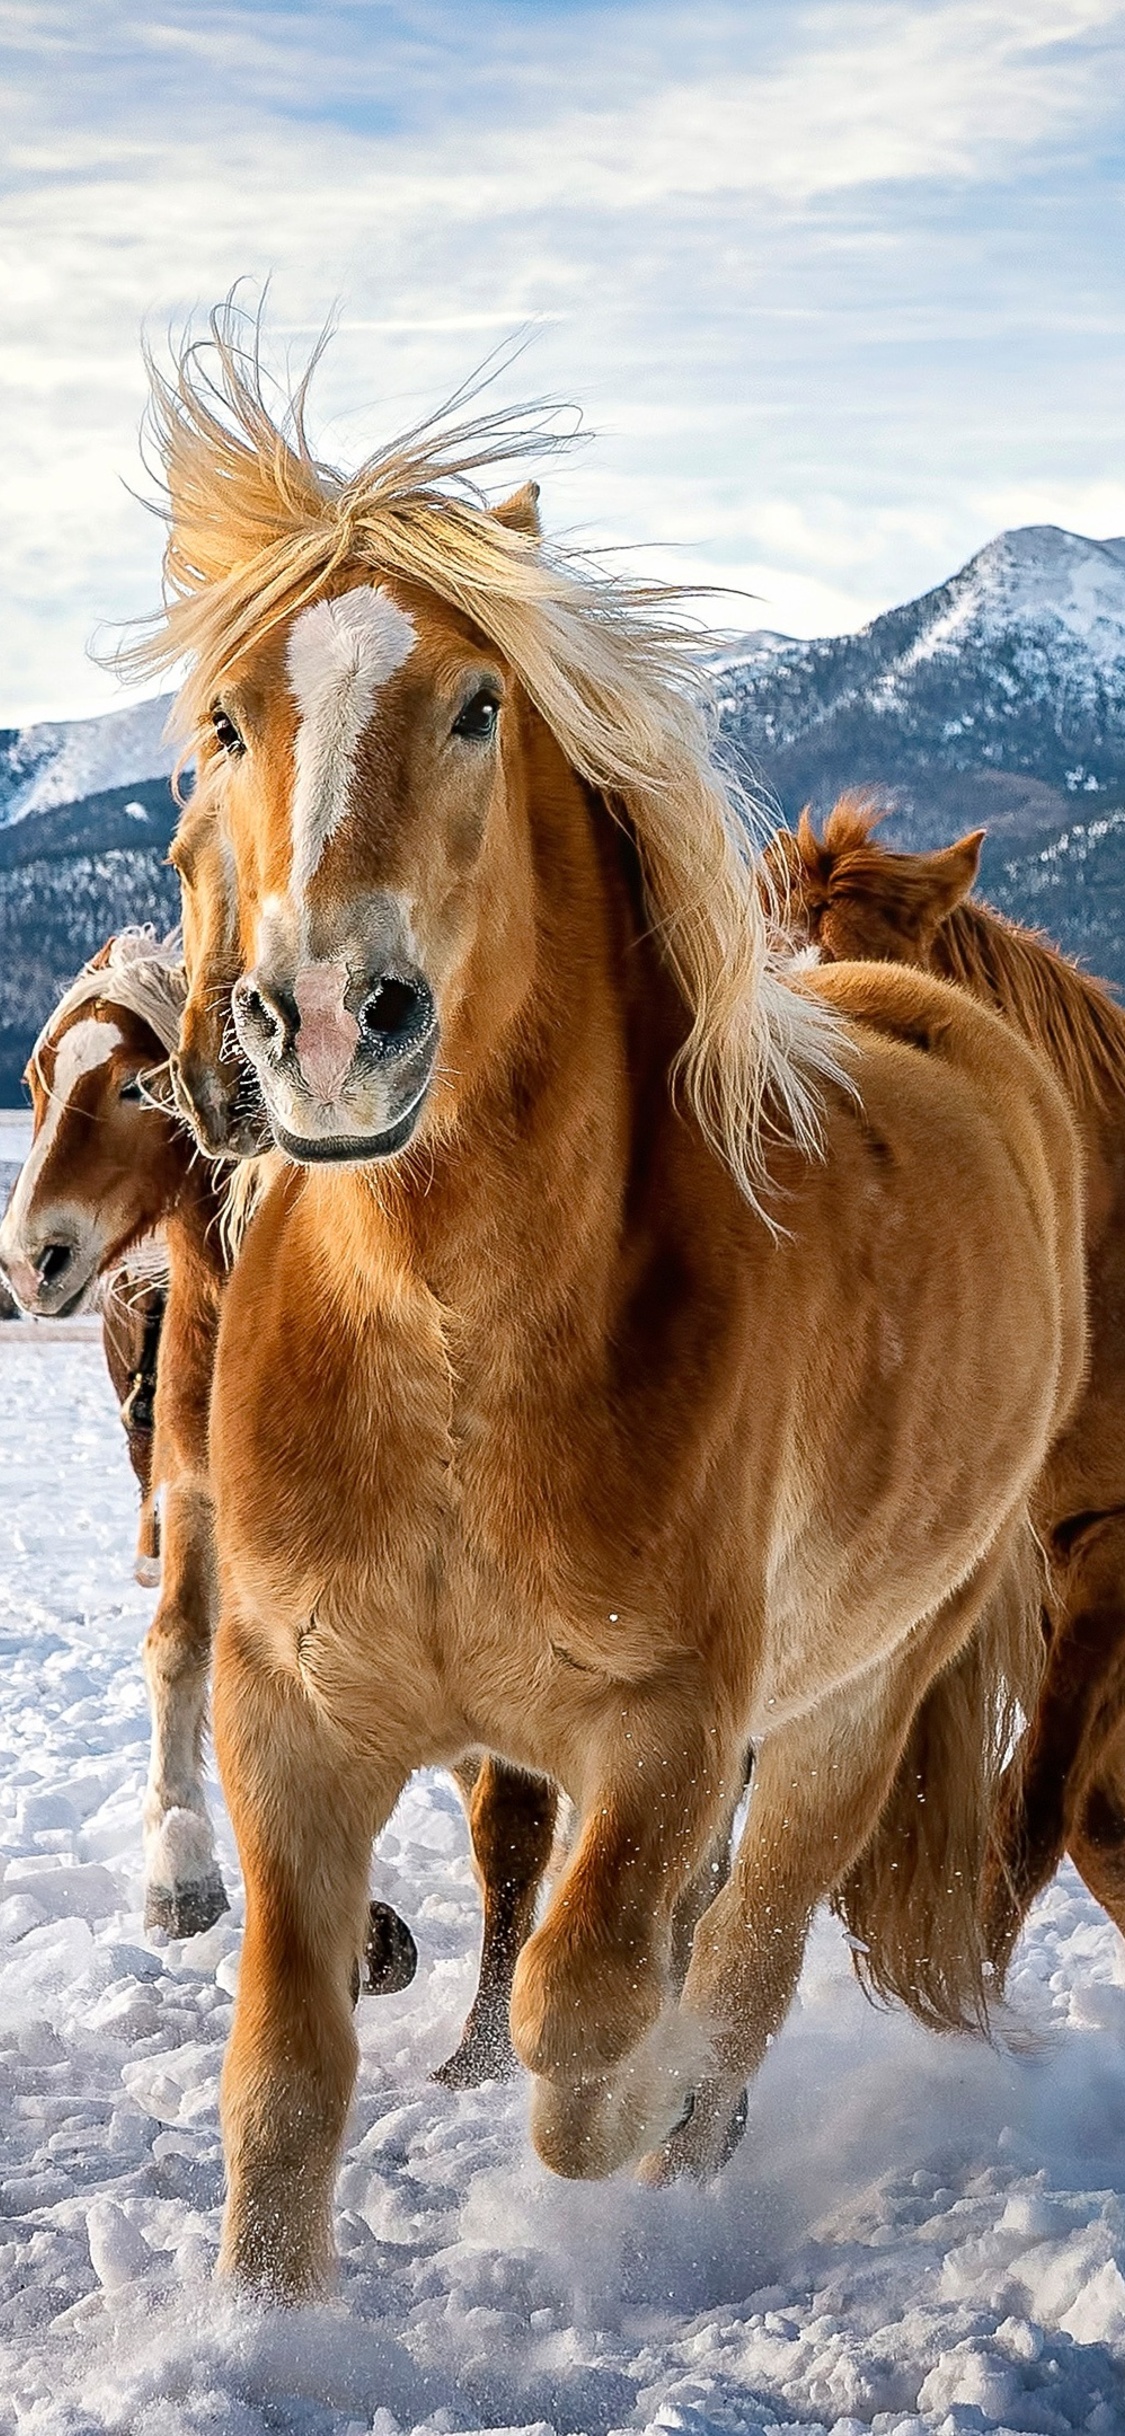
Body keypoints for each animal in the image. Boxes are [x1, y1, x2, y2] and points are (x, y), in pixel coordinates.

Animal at [126, 315, 1084, 2302]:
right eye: (228, 719)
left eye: (479, 705)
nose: (322, 1023)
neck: (448, 1355)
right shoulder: (289, 1722)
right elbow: (286, 2086)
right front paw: (272, 2331)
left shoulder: (663, 1736)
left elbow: (584, 2019)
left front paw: (635, 2114)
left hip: (856, 1700)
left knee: (755, 1945)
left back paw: (696, 2151)